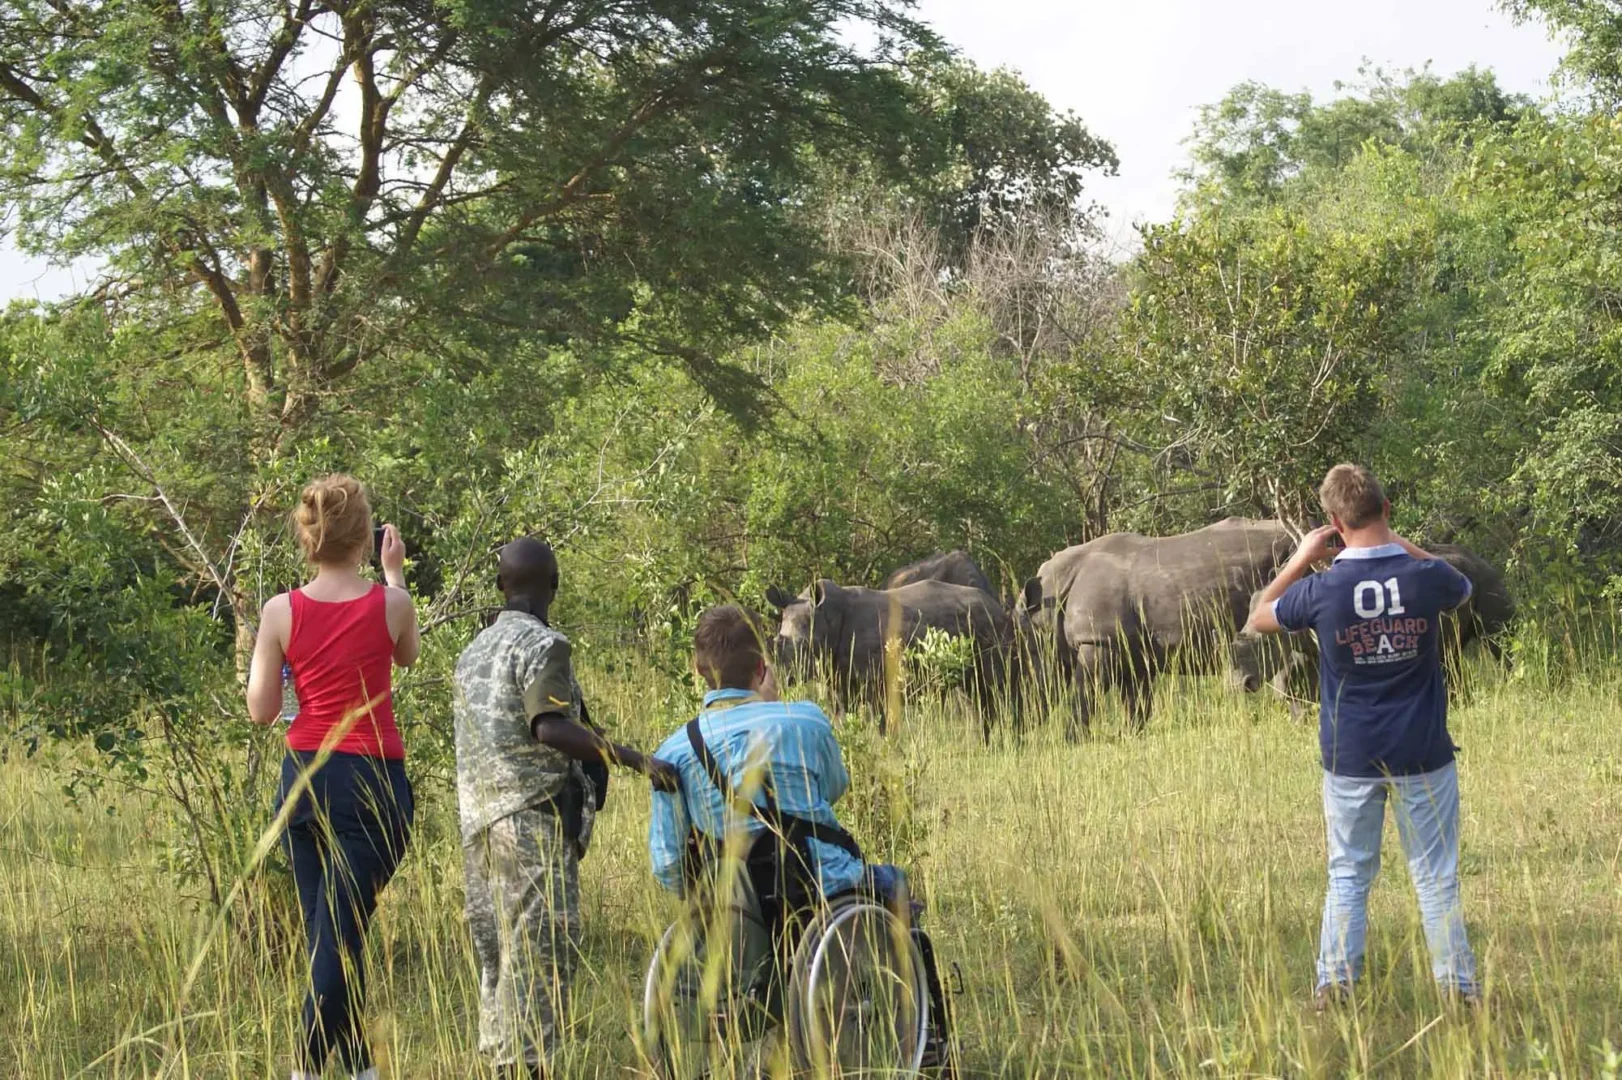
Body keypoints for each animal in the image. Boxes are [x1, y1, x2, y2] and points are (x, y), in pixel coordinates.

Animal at [765, 578, 1015, 736]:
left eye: (805, 647)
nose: (780, 680)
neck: (828, 618)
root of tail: (997, 606)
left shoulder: (878, 682)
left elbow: (882, 723)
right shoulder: (838, 678)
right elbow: (841, 719)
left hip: (992, 627)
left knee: (997, 689)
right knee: (973, 695)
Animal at [1015, 518, 1297, 736]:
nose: (1017, 723)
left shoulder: (1098, 639)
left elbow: (1086, 693)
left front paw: (1073, 739)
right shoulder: (1132, 650)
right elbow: (1136, 700)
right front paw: (1130, 736)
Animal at [1229, 542, 1516, 717]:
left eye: (1265, 645)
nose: (1239, 684)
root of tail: (1479, 558)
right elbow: (1292, 691)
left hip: (1487, 578)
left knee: (1498, 642)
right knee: (1451, 656)